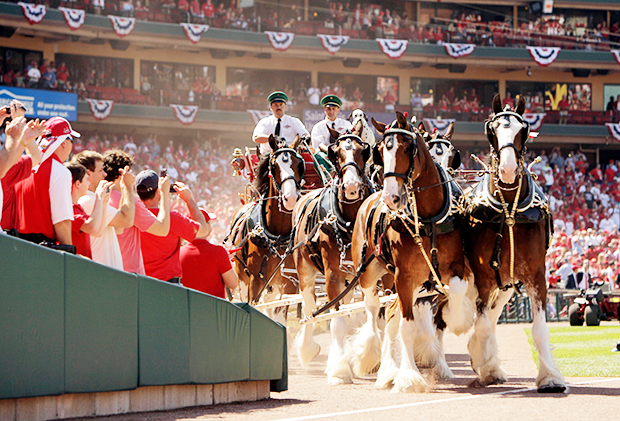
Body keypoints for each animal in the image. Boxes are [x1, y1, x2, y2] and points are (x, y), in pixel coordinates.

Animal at [228, 135, 306, 322]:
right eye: (274, 166)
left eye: (299, 165)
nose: (291, 198)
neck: (276, 237)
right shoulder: (255, 280)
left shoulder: (289, 282)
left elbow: (279, 317)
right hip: (243, 278)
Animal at [292, 129, 370, 384]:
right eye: (336, 154)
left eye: (363, 151)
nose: (352, 186)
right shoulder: (332, 273)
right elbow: (337, 321)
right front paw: (339, 370)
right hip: (304, 269)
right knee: (308, 306)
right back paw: (307, 348)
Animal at [348, 111, 474, 390]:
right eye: (380, 151)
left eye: (407, 148)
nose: (390, 198)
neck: (428, 219)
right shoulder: (403, 277)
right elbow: (406, 327)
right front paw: (409, 376)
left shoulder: (453, 268)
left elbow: (453, 296)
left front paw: (458, 320)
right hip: (371, 273)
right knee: (375, 310)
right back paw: (377, 362)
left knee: (391, 314)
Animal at [464, 93, 568, 392]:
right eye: (492, 130)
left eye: (523, 130)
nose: (509, 170)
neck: (509, 210)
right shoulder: (483, 276)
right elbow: (482, 324)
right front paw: (486, 367)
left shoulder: (536, 274)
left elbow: (539, 328)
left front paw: (550, 378)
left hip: (508, 282)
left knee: (493, 314)